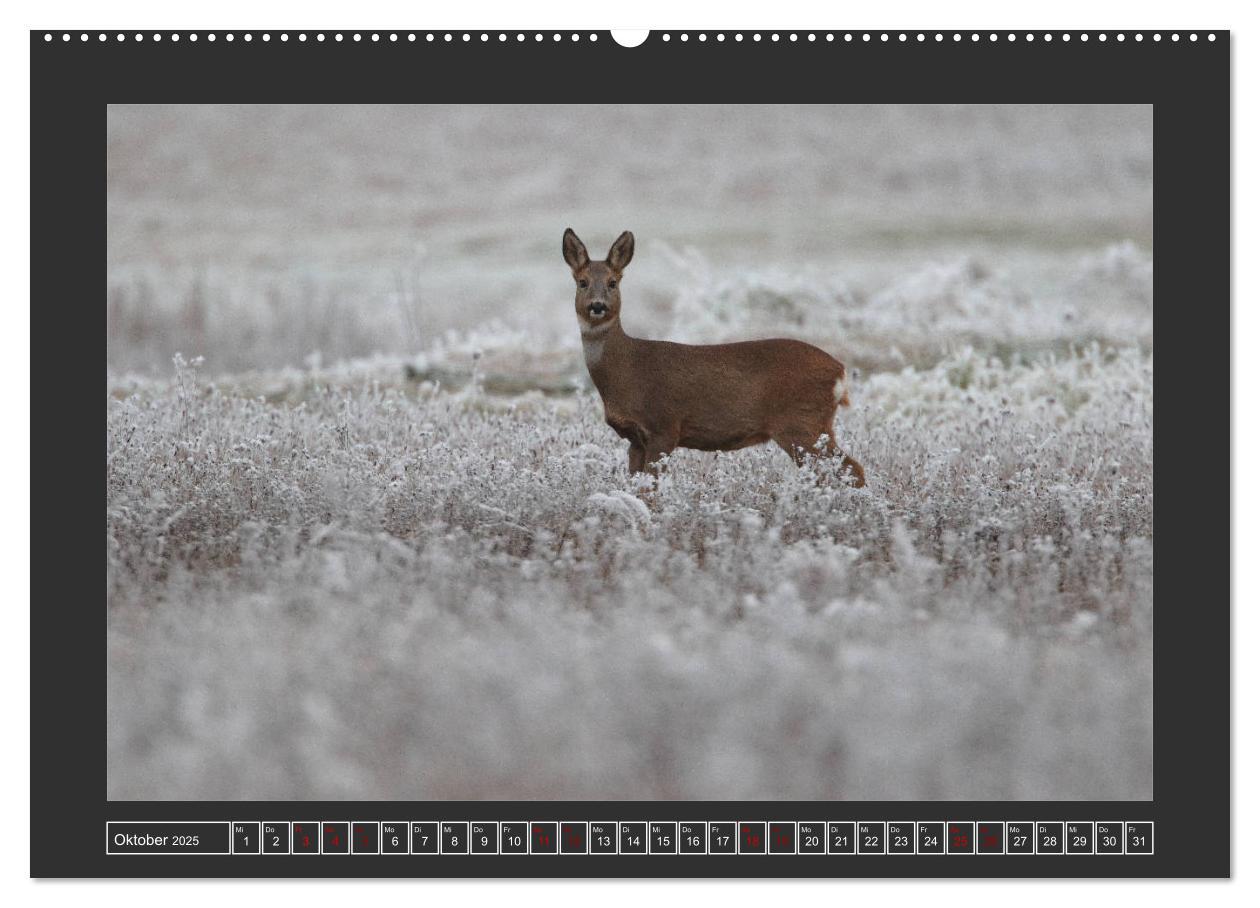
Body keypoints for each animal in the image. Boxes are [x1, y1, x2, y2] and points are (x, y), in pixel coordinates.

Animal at [564, 230, 866, 486]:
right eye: (582, 282)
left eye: (613, 282)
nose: (598, 306)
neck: (626, 370)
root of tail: (840, 371)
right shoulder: (635, 439)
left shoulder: (664, 425)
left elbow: (651, 487)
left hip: (802, 424)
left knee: (852, 468)